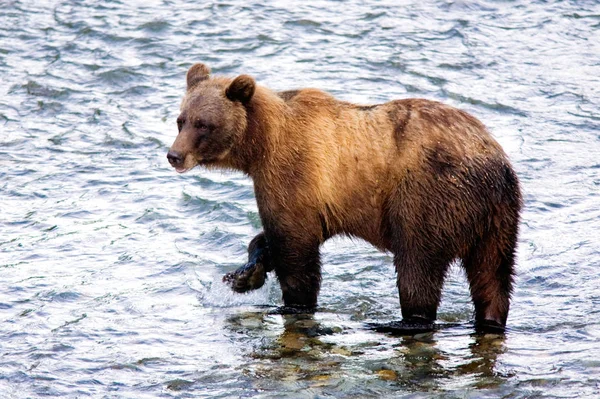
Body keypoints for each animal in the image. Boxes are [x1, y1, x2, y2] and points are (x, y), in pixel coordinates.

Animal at [168, 63, 520, 334]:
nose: (174, 155)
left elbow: (296, 250)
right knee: (493, 275)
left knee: (417, 265)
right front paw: (243, 274)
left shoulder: (294, 173)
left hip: (428, 196)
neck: (260, 146)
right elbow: (277, 237)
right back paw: (490, 320)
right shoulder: (322, 202)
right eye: (181, 119)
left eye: (203, 124)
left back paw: (402, 322)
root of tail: (495, 162)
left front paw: (293, 302)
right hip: (497, 218)